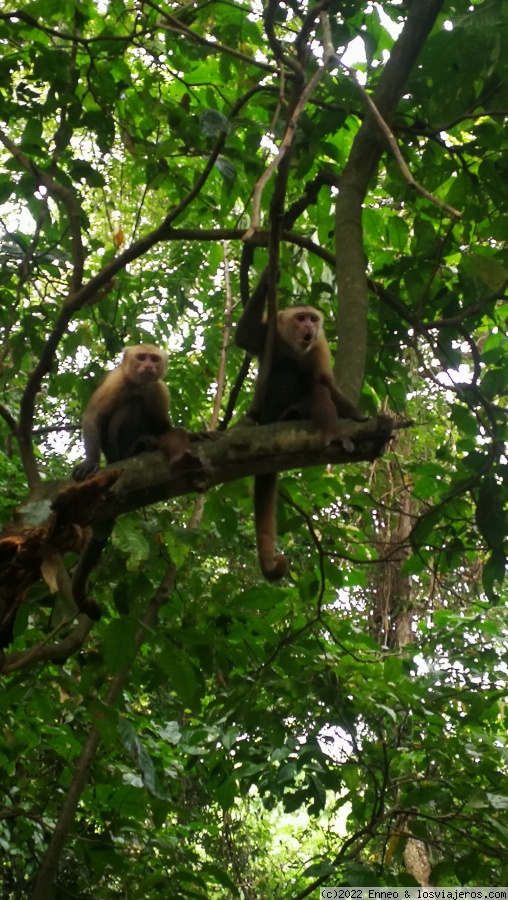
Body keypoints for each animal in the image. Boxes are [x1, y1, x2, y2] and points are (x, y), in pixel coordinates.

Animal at [72, 344, 195, 486]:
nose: (148, 365)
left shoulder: (160, 389)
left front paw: (194, 435)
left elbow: (164, 427)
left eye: (154, 359)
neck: (139, 384)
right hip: (113, 450)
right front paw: (91, 461)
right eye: (141, 357)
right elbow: (92, 416)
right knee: (135, 403)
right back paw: (131, 451)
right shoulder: (116, 380)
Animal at [236, 288, 368, 584]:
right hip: (269, 413)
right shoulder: (270, 334)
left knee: (316, 387)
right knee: (287, 371)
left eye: (312, 319)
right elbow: (245, 336)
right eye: (301, 318)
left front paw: (358, 416)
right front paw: (269, 279)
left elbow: (325, 383)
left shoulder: (318, 348)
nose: (310, 326)